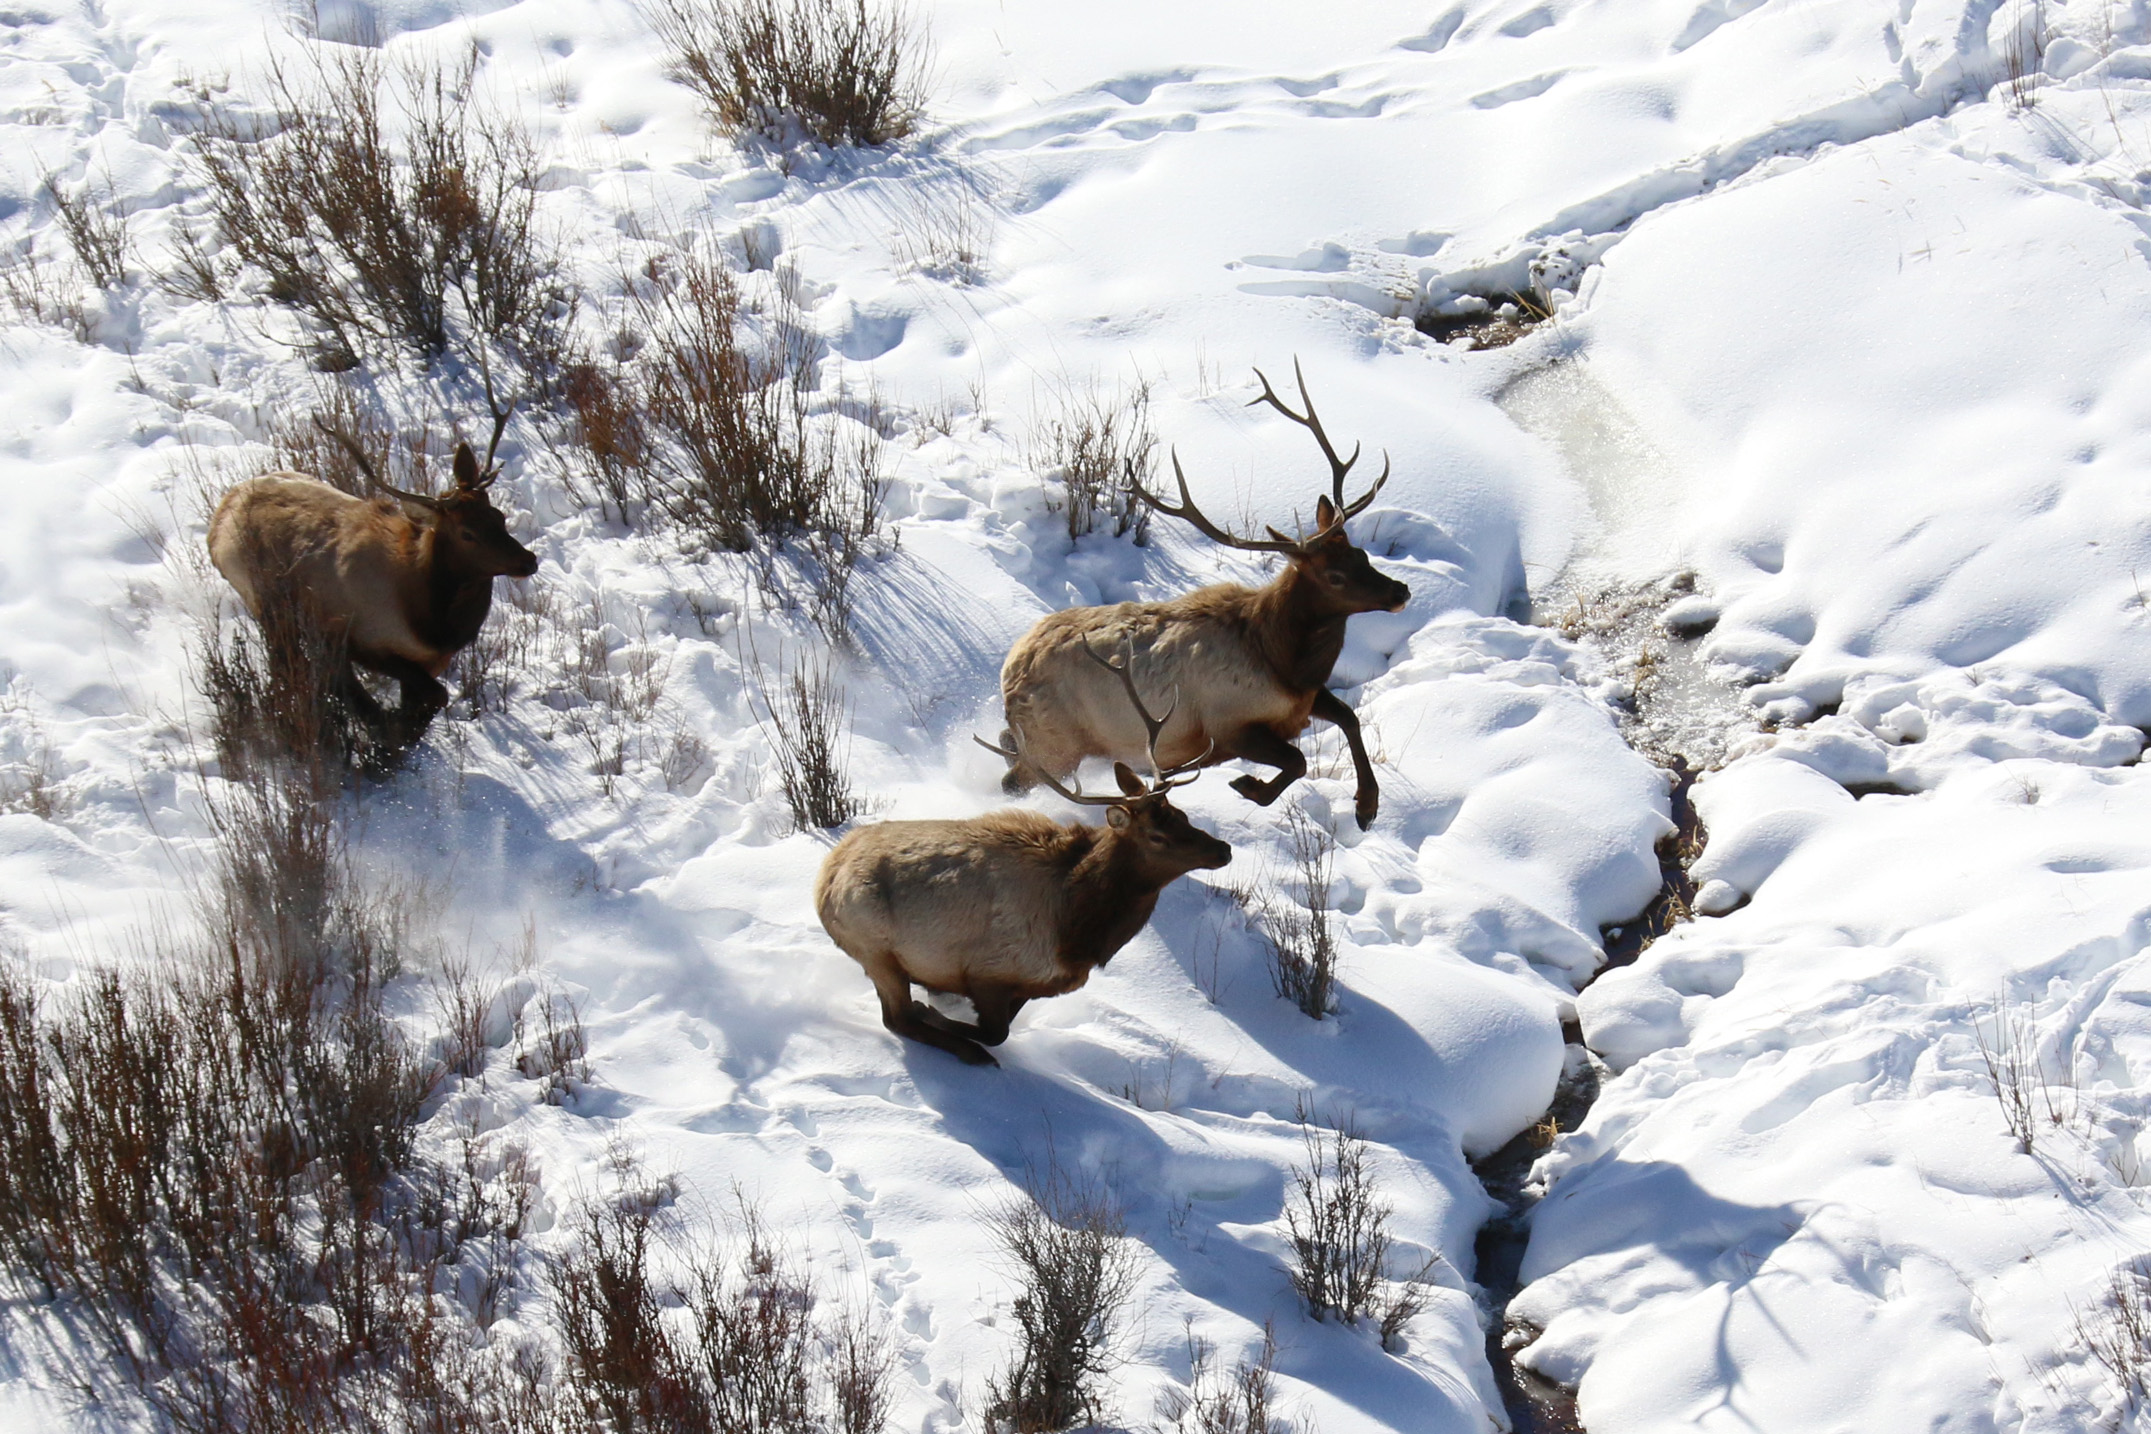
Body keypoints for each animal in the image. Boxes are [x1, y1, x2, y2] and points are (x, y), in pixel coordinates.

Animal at [205, 404, 537, 756]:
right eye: (467, 533)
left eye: (499, 516)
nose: (528, 560)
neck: (432, 624)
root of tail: (220, 515)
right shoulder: (365, 642)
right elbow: (432, 698)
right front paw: (386, 737)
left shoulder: (429, 660)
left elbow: (425, 705)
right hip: (265, 603)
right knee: (289, 667)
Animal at [817, 649, 1238, 1066]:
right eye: (1156, 836)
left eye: (1181, 816)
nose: (1224, 850)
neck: (1079, 932)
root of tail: (825, 882)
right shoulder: (988, 973)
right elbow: (994, 1033)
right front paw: (936, 1012)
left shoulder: (1031, 986)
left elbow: (1000, 1029)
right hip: (876, 950)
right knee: (896, 1018)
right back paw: (963, 1048)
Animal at [993, 359, 1411, 829]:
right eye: (1335, 576)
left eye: (1361, 554)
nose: (1400, 591)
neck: (1282, 661)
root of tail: (1009, 666)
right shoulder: (1229, 725)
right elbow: (1299, 761)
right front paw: (1249, 787)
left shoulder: (1305, 701)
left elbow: (1349, 717)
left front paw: (1367, 805)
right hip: (1056, 742)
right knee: (1013, 780)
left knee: (1007, 745)